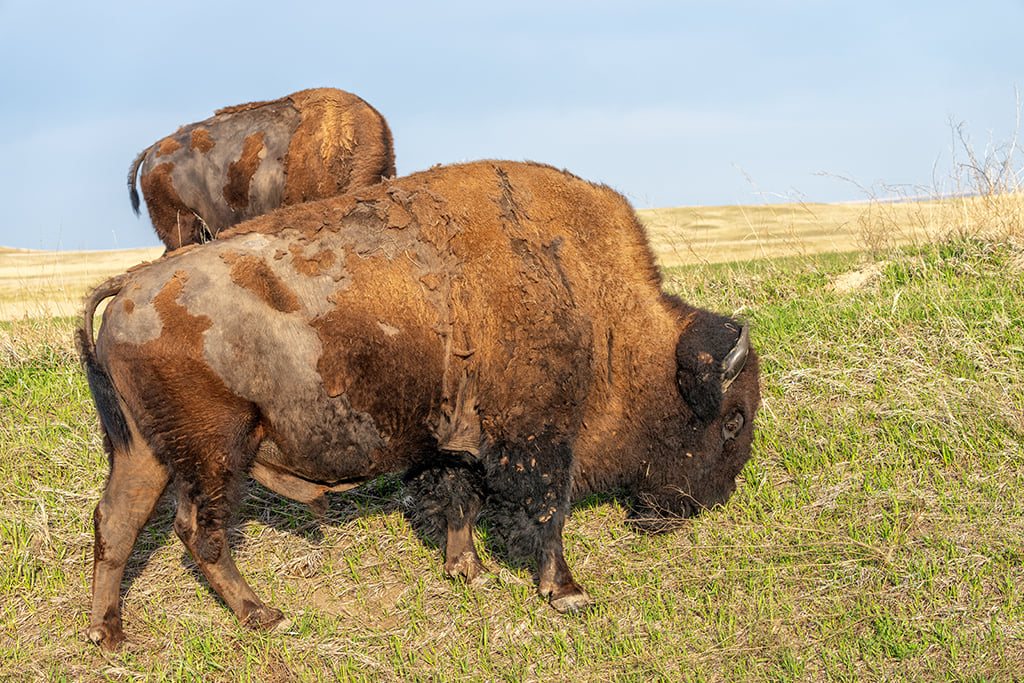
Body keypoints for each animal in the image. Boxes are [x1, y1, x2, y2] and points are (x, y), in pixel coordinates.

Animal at [78, 160, 760, 649]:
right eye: (733, 421)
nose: (709, 501)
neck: (599, 308)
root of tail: (130, 285)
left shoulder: (458, 443)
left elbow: (461, 499)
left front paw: (468, 570)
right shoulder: (537, 440)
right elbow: (545, 512)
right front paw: (567, 592)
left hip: (145, 451)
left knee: (118, 522)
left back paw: (109, 636)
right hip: (213, 454)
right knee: (199, 532)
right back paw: (264, 616)